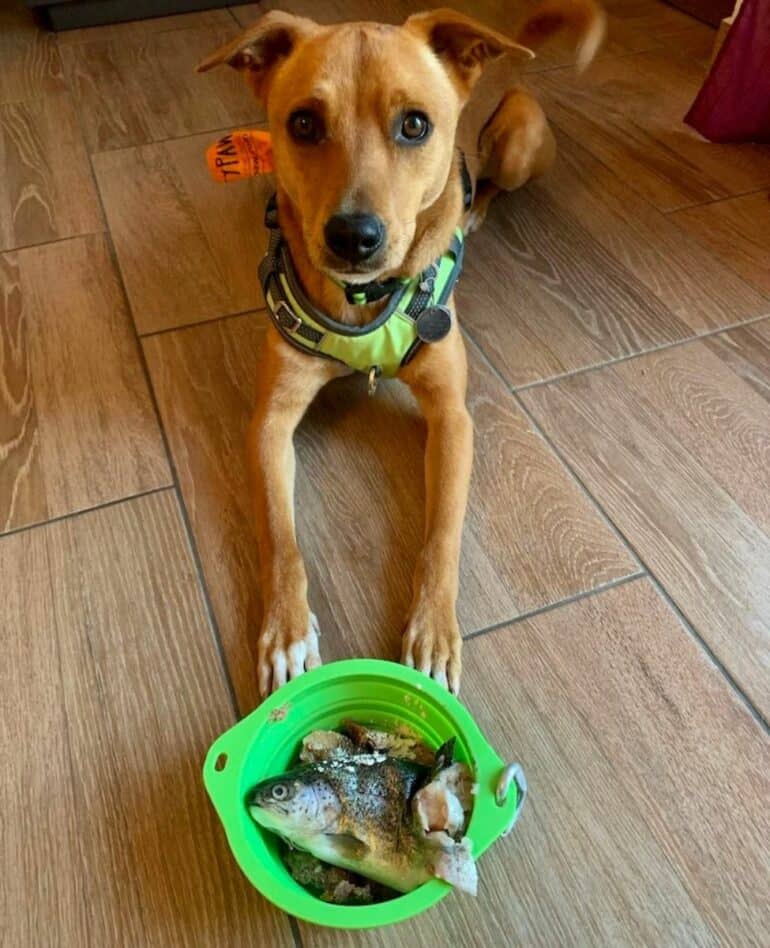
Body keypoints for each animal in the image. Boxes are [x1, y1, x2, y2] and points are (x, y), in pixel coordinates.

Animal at [200, 0, 608, 696]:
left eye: (415, 124)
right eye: (303, 123)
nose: (353, 236)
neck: (365, 302)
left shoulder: (453, 417)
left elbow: (441, 534)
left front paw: (434, 631)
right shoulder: (269, 421)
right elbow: (280, 538)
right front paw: (286, 631)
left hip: (521, 142)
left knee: (493, 184)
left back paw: (473, 208)